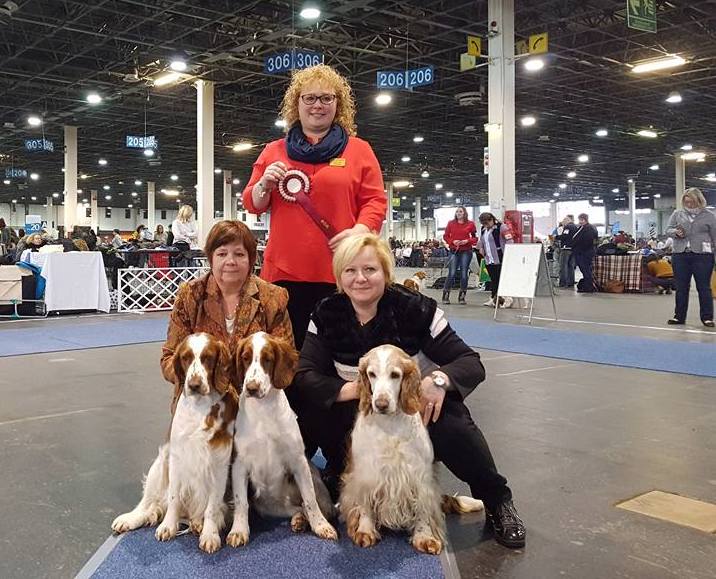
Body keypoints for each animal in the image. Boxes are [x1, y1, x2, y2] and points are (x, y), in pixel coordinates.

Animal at [110, 334, 238, 556]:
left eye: (208, 357)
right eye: (186, 358)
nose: (194, 385)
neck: (200, 408)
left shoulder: (219, 465)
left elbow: (212, 507)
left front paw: (210, 535)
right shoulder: (177, 459)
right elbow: (173, 499)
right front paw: (168, 527)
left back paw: (198, 524)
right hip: (160, 464)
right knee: (148, 502)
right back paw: (129, 519)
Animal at [228, 334, 338, 548]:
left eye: (267, 359)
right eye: (245, 358)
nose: (251, 388)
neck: (263, 410)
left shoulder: (298, 462)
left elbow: (310, 498)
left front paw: (321, 526)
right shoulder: (239, 464)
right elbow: (241, 502)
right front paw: (238, 531)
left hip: (313, 478)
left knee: (310, 504)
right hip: (269, 506)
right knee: (297, 508)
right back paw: (299, 520)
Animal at [340, 346, 482, 556]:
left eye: (395, 375)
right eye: (371, 374)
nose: (380, 404)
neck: (390, 425)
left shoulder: (420, 476)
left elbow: (423, 508)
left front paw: (425, 537)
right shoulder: (364, 473)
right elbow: (365, 504)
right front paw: (365, 531)